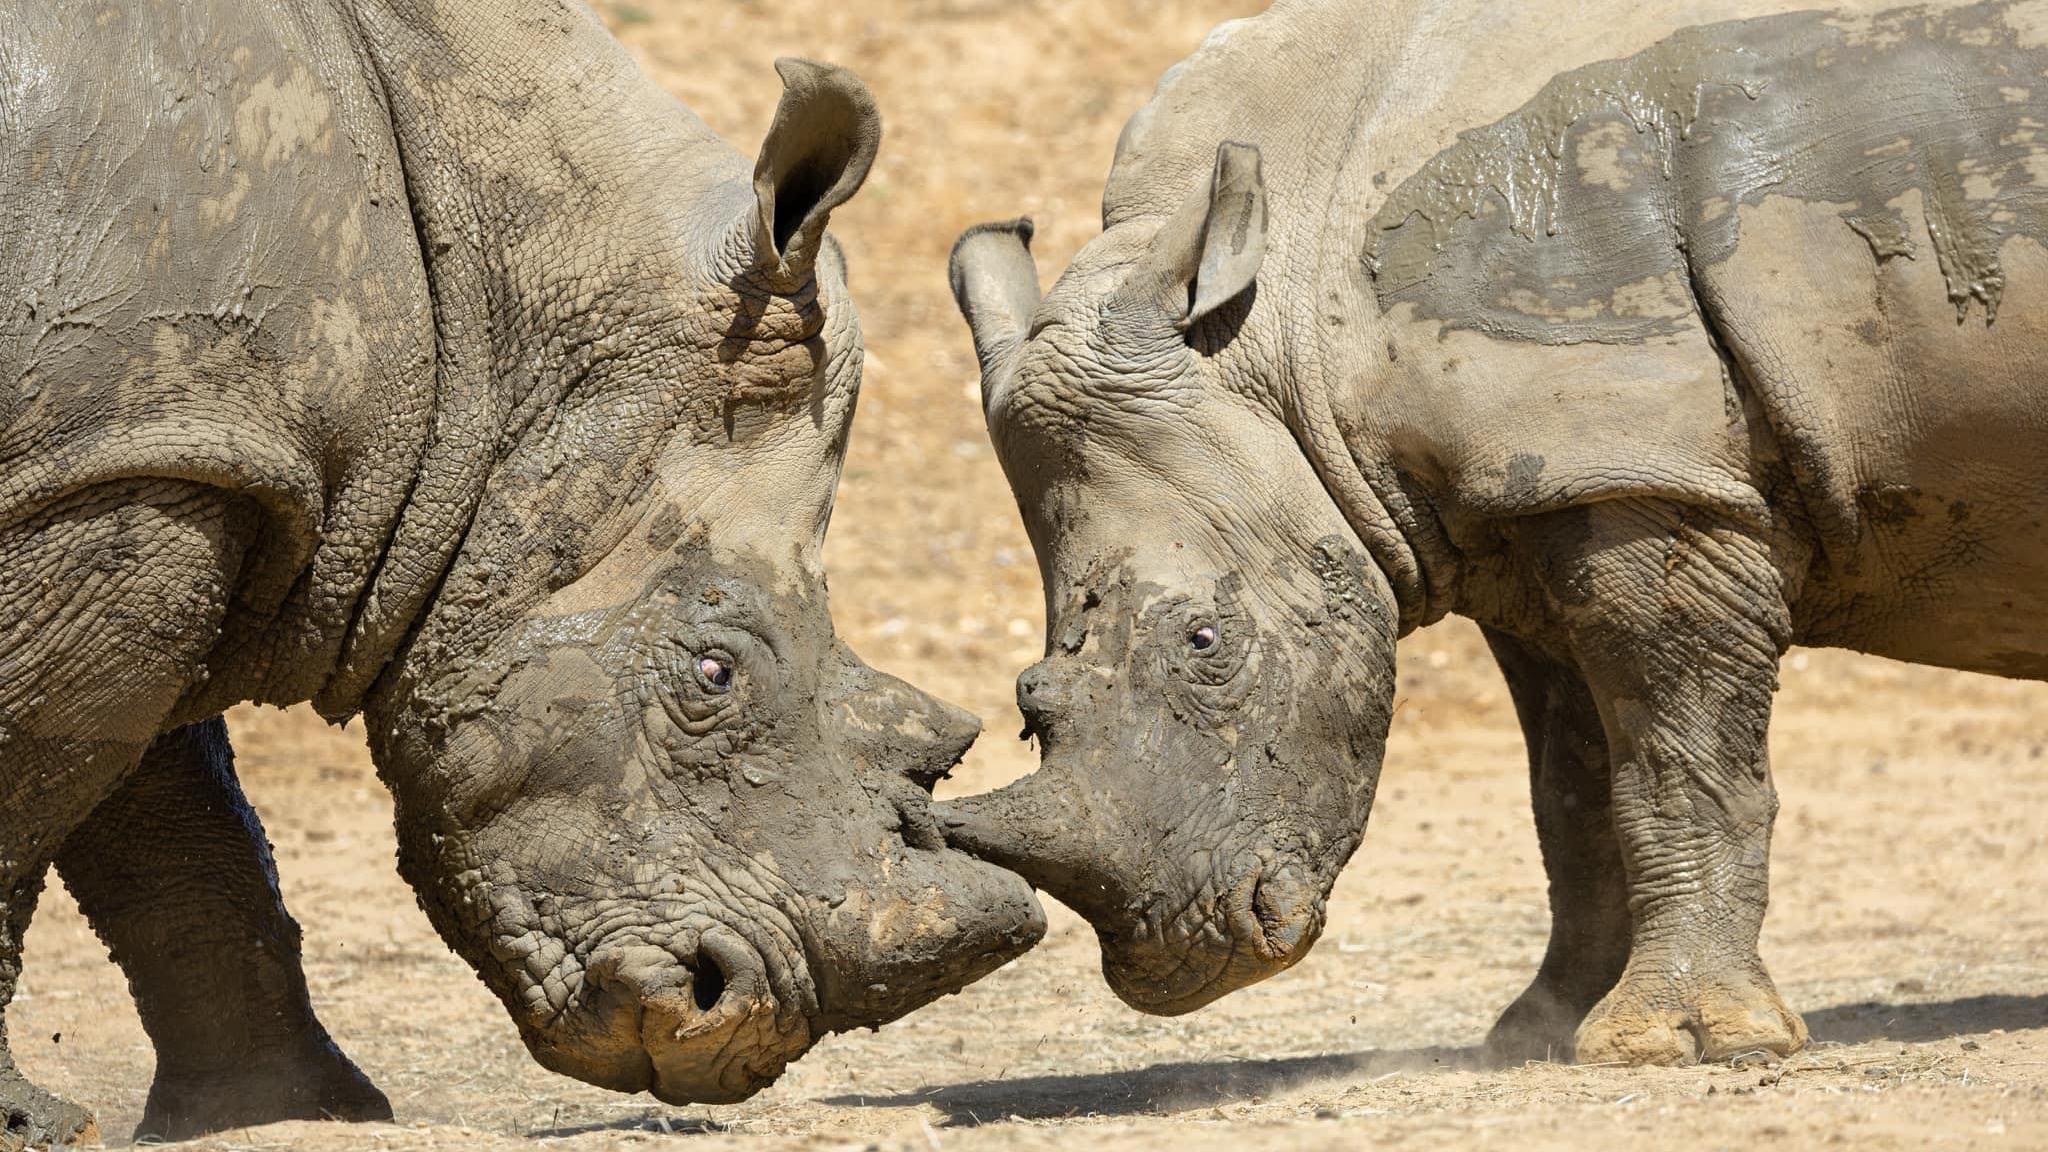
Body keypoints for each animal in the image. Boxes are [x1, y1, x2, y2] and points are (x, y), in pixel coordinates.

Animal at [0, 0, 1048, 1139]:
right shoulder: (122, 466)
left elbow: (171, 819)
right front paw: (35, 1125)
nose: (731, 1022)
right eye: (713, 674)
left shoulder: (169, 457)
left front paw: (294, 1114)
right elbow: (39, 778)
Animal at [950, 0, 2048, 1065]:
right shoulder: (1539, 501)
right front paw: (1537, 1034)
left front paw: (1680, 1044)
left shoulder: (1644, 470)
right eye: (1026, 709)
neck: (1282, 329)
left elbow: (1677, 764)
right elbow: (1573, 795)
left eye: (1205, 642)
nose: (1172, 960)